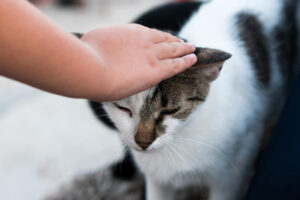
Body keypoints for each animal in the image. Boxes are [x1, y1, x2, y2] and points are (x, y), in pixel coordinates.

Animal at [85, 0, 298, 200]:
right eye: (123, 109)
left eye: (170, 110)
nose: (143, 143)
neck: (181, 137)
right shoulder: (156, 181)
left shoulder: (231, 175)